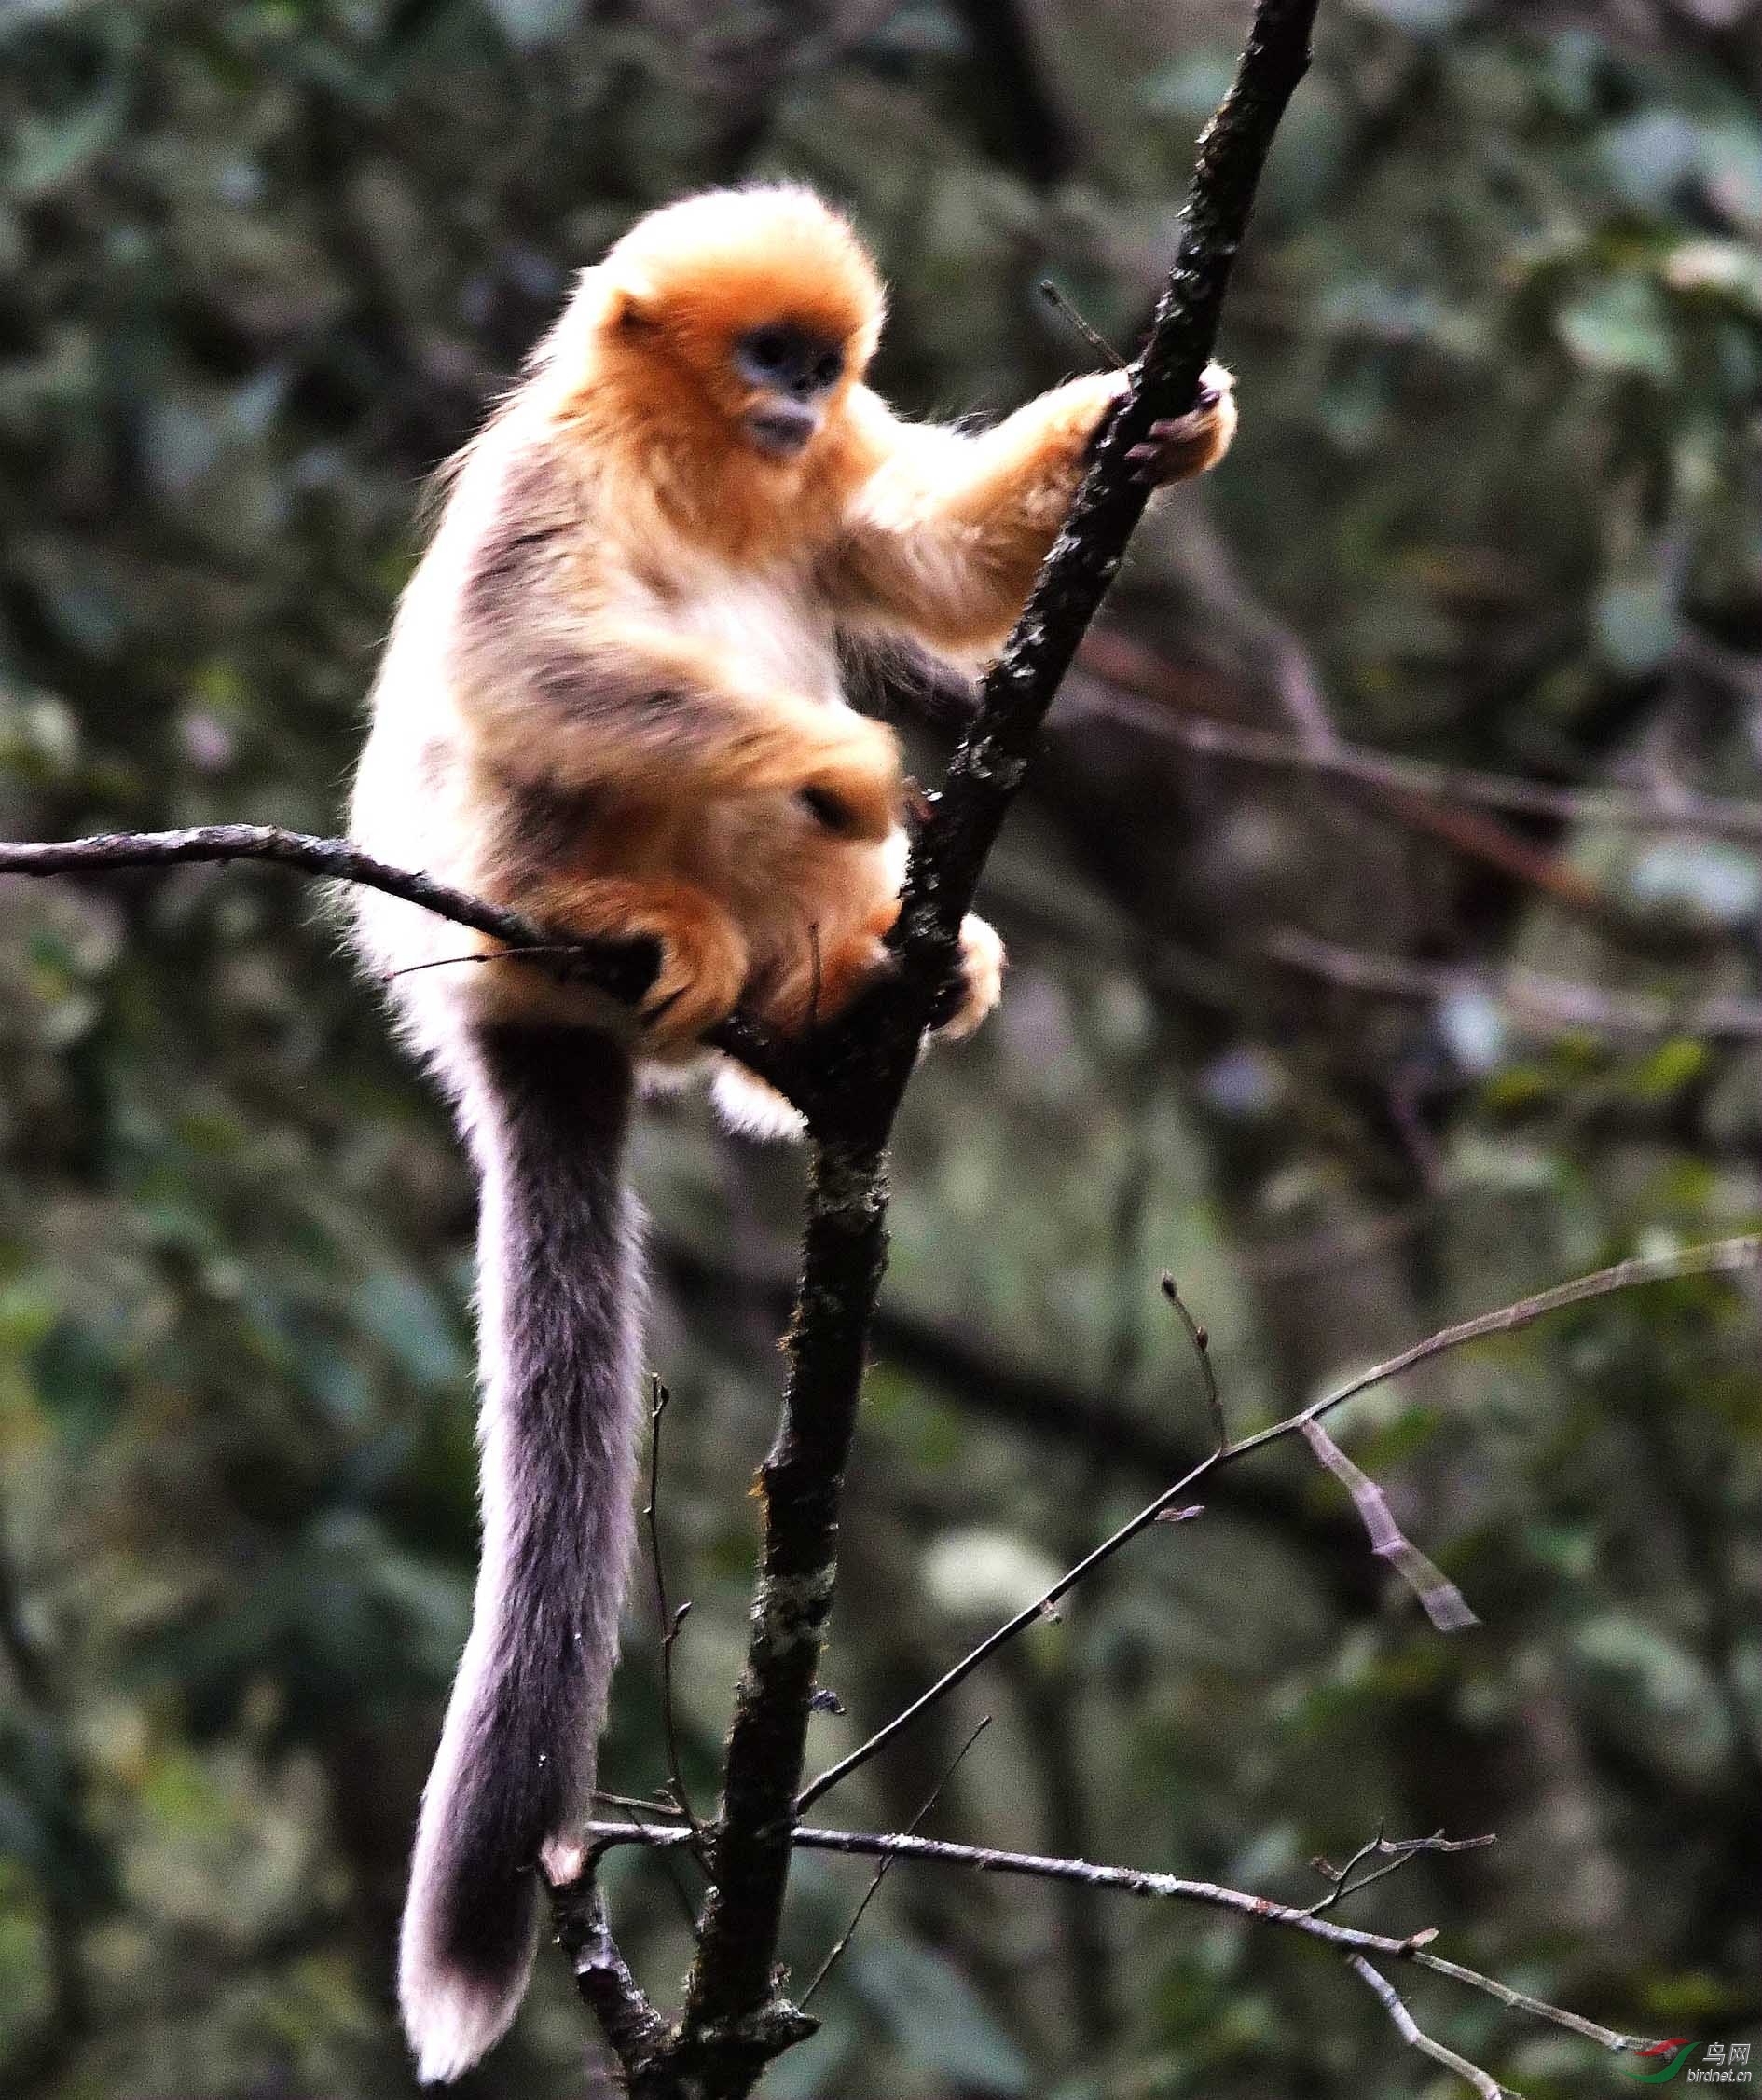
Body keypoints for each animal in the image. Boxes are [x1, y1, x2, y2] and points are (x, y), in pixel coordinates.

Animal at [348, 185, 1243, 2082]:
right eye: (768, 354)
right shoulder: (552, 477)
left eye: (827, 368)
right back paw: (645, 920)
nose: (797, 402)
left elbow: (926, 566)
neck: (700, 468)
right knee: (578, 743)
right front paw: (847, 762)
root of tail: (505, 1017)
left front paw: (1150, 418)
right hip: (504, 892)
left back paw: (863, 994)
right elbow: (528, 655)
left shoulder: (823, 491)